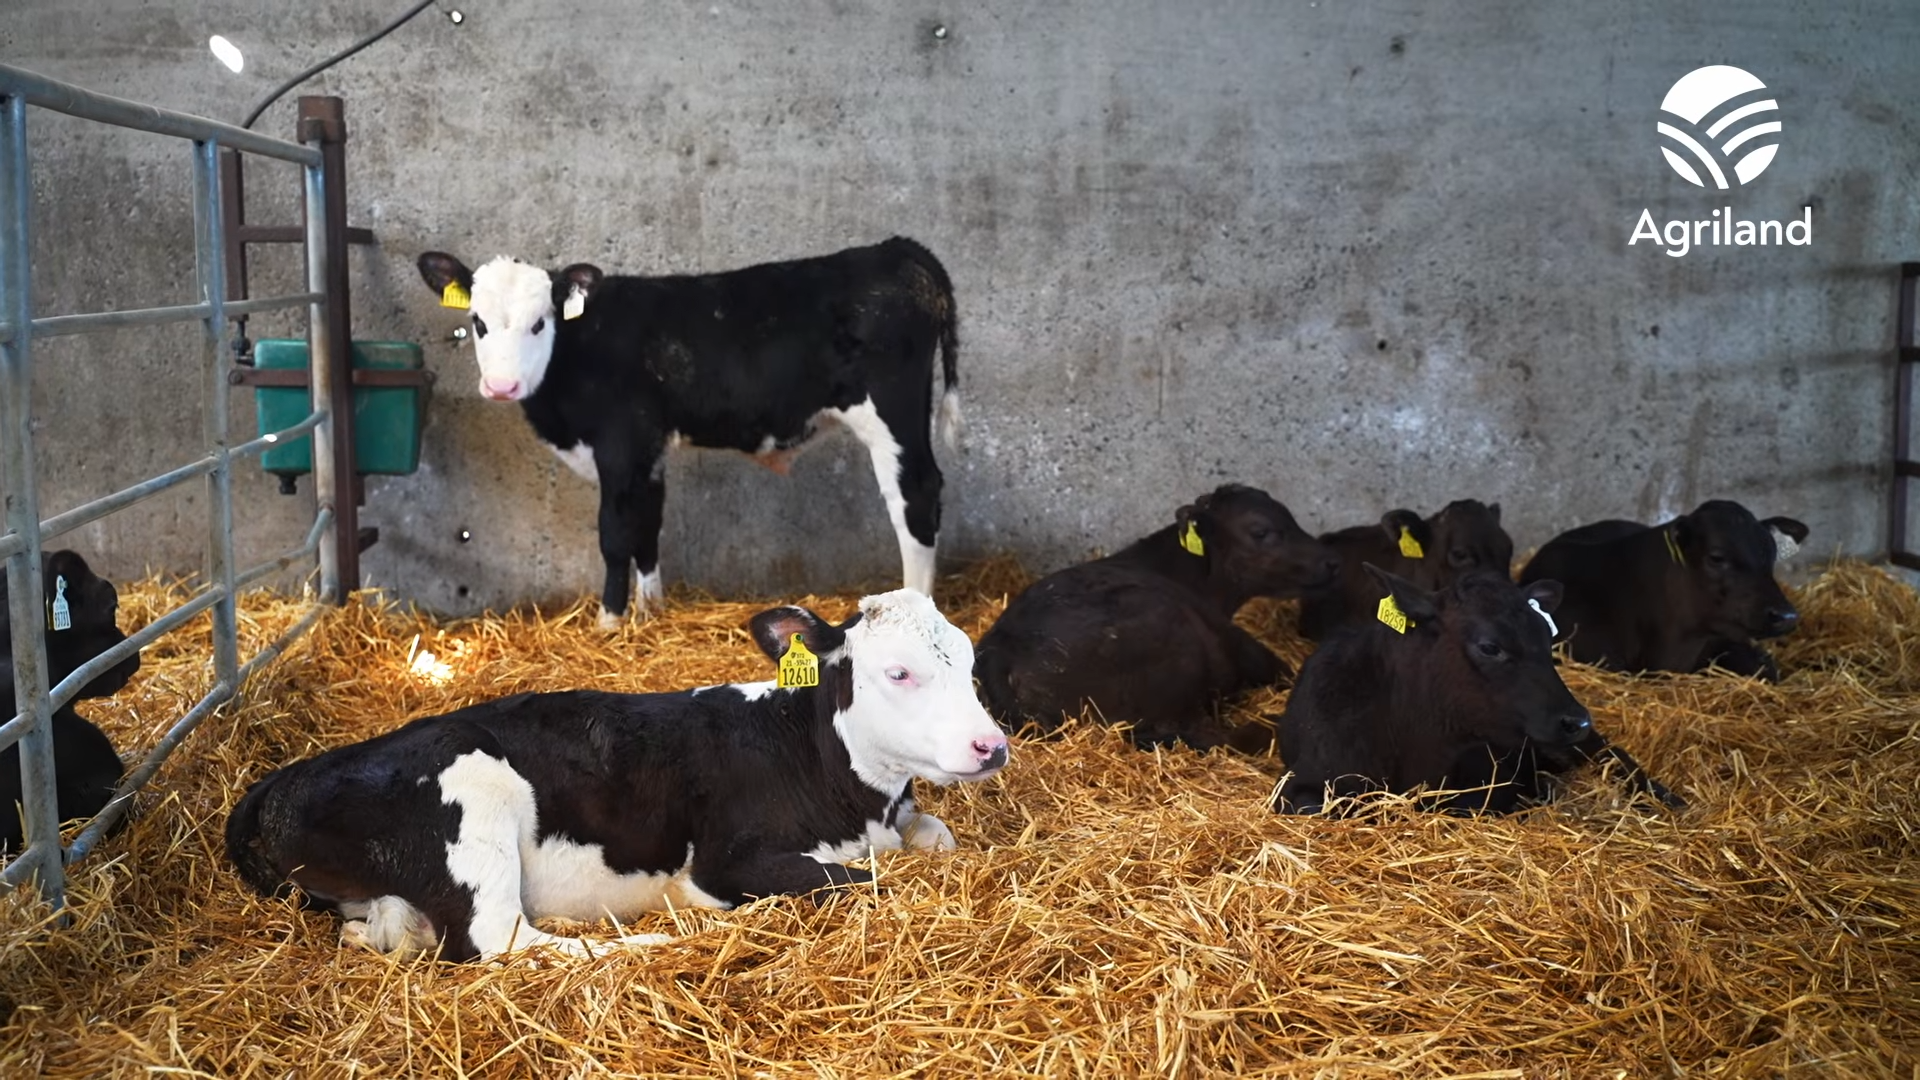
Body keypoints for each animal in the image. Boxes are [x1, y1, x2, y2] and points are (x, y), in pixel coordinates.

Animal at [223, 589, 1009, 962]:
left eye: (970, 660)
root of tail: (291, 775)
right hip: (474, 796)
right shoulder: (730, 860)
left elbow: (934, 837)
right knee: (503, 940)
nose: (991, 746)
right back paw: (651, 943)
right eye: (898, 672)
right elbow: (861, 880)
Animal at [417, 238, 960, 628]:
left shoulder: (620, 445)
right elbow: (647, 527)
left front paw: (609, 622)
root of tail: (896, 249)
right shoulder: (649, 451)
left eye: (539, 324)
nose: (501, 386)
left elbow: (615, 534)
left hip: (892, 415)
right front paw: (649, 610)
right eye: (477, 322)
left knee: (915, 495)